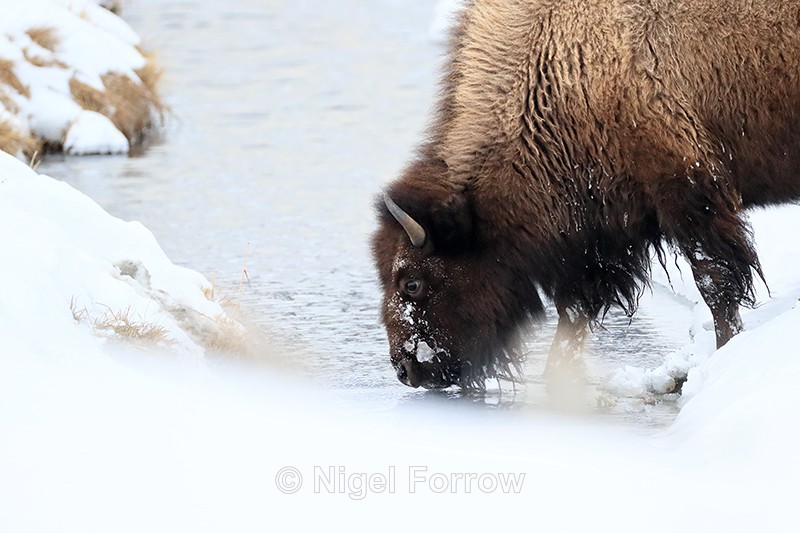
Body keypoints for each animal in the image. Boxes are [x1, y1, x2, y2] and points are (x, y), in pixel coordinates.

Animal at [371, 0, 800, 389]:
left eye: (412, 283)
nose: (406, 371)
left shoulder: (688, 195)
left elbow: (716, 284)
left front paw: (724, 354)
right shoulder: (599, 234)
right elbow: (575, 311)